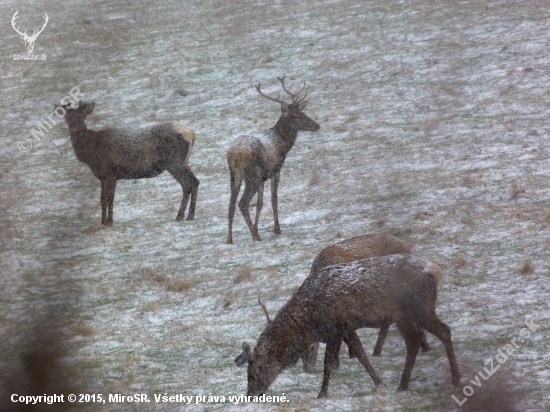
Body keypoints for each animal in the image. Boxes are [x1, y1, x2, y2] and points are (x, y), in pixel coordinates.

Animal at [55, 102, 198, 227]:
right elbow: (102, 199)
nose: (73, 125)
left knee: (189, 183)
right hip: (182, 161)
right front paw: (103, 222)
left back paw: (183, 216)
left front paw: (109, 222)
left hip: (175, 161)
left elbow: (110, 198)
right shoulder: (102, 176)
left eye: (82, 116)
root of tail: (191, 132)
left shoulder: (111, 172)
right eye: (67, 117)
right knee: (193, 182)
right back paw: (187, 216)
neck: (91, 154)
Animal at [225, 75, 322, 243]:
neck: (282, 144)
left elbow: (261, 203)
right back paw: (254, 234)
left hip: (234, 176)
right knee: (242, 203)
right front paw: (277, 229)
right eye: (295, 116)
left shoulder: (263, 178)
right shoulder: (275, 170)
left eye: (303, 113)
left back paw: (230, 239)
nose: (316, 125)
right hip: (252, 176)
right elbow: (272, 200)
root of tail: (235, 154)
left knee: (231, 205)